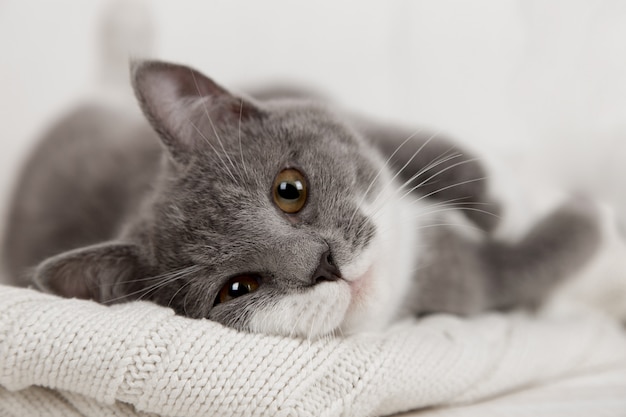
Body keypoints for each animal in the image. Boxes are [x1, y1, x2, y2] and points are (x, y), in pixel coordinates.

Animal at [2, 61, 604, 338]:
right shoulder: (461, 283)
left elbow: (387, 134)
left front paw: (495, 196)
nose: (325, 265)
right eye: (237, 288)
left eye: (289, 190)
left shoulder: (314, 104)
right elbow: (517, 268)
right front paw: (588, 213)